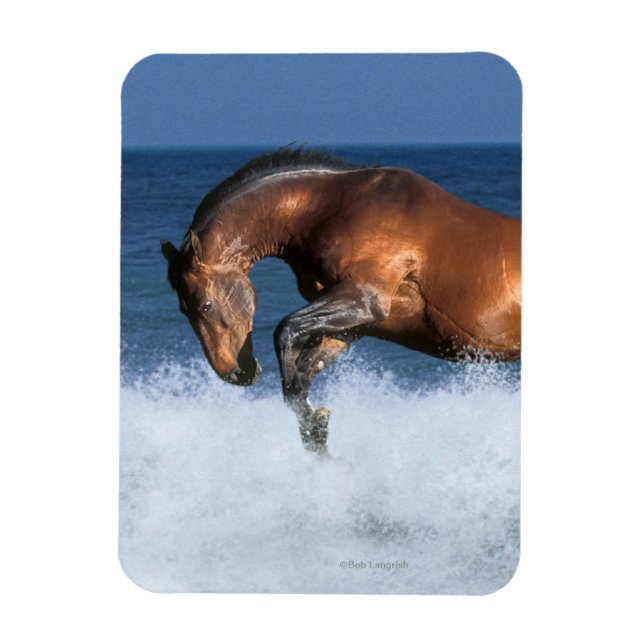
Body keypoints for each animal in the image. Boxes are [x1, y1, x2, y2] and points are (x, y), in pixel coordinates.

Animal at [161, 146, 521, 453]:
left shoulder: (362, 299)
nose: (235, 373)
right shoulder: (352, 325)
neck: (330, 208)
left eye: (205, 305)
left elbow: (285, 332)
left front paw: (314, 424)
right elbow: (304, 368)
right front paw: (316, 430)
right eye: (182, 309)